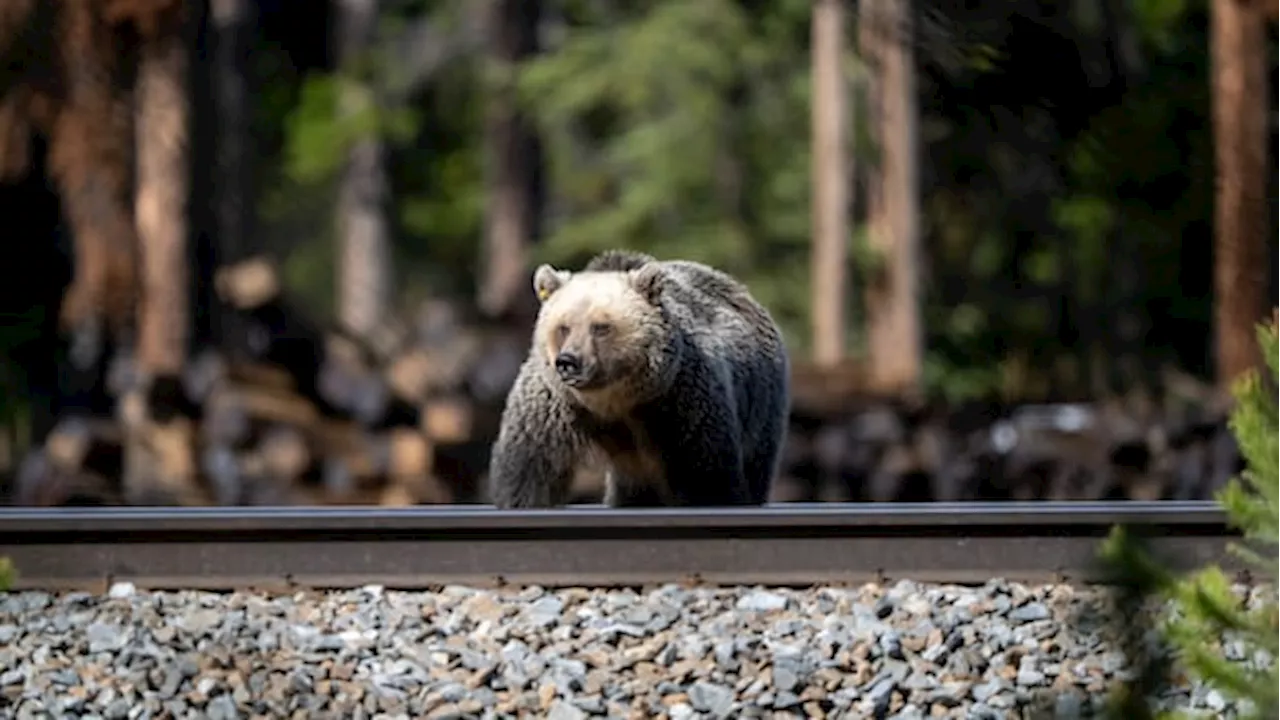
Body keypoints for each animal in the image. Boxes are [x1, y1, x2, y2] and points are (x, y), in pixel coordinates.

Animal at [486, 248, 791, 508]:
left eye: (600, 327)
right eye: (563, 327)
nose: (568, 362)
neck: (615, 399)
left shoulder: (680, 399)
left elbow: (707, 475)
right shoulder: (554, 405)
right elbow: (529, 468)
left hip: (761, 401)